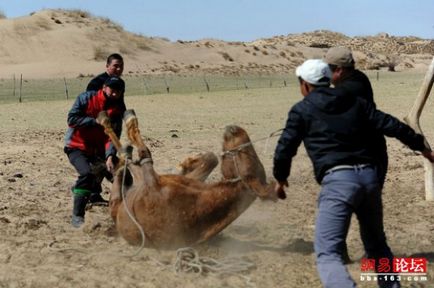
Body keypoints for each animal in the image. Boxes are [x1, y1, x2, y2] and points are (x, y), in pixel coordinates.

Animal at [99, 109, 274, 249]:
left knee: (123, 167)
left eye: (248, 161)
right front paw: (186, 163)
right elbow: (211, 158)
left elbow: (143, 150)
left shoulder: (150, 181)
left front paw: (129, 121)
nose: (235, 128)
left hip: (121, 196)